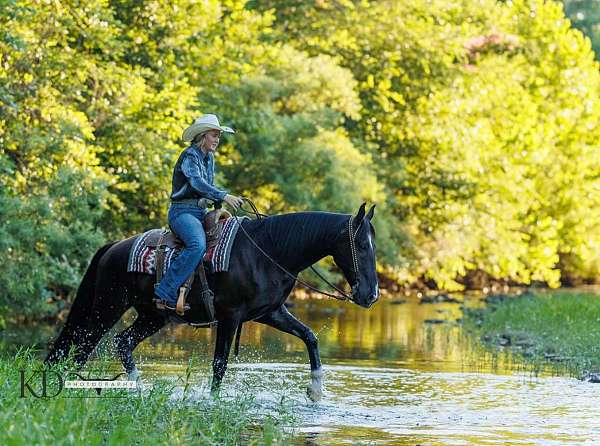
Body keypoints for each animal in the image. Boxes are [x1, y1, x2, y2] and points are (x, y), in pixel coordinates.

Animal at [47, 204, 378, 398]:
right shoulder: (231, 315)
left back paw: (138, 388)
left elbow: (310, 337)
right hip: (108, 306)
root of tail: (114, 246)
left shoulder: (270, 313)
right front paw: (213, 401)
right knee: (82, 343)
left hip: (152, 316)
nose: (371, 295)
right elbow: (220, 363)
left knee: (122, 341)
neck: (269, 251)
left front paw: (316, 390)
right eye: (361, 245)